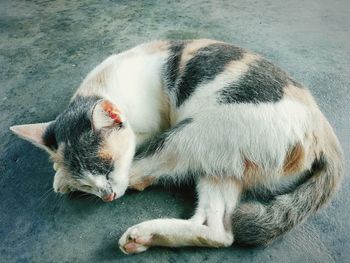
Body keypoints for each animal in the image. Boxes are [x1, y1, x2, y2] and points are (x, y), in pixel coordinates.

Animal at [9, 39, 344, 256]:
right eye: (88, 183)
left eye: (106, 167)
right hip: (222, 165)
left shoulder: (150, 130)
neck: (102, 83)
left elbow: (134, 154)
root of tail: (325, 133)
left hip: (194, 132)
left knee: (146, 173)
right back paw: (145, 236)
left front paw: (62, 177)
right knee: (218, 230)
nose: (104, 196)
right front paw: (65, 173)